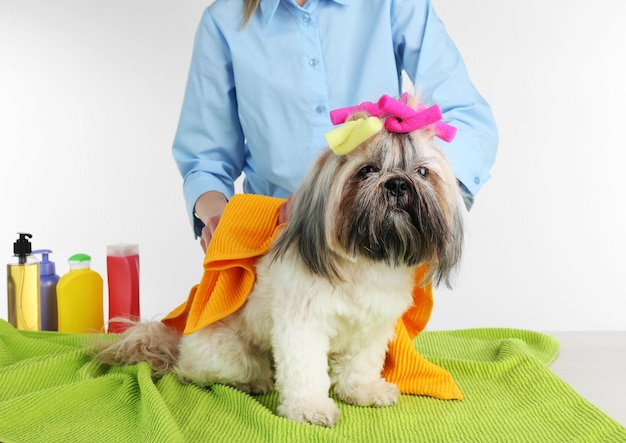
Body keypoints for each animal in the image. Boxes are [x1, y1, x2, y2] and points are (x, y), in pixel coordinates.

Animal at [94, 93, 464, 426]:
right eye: (367, 170)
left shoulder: (372, 327)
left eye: (422, 172)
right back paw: (250, 381)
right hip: (228, 354)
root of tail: (177, 340)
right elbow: (305, 369)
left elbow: (361, 363)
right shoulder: (304, 324)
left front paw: (362, 390)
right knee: (194, 372)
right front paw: (310, 408)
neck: (363, 261)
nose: (399, 183)